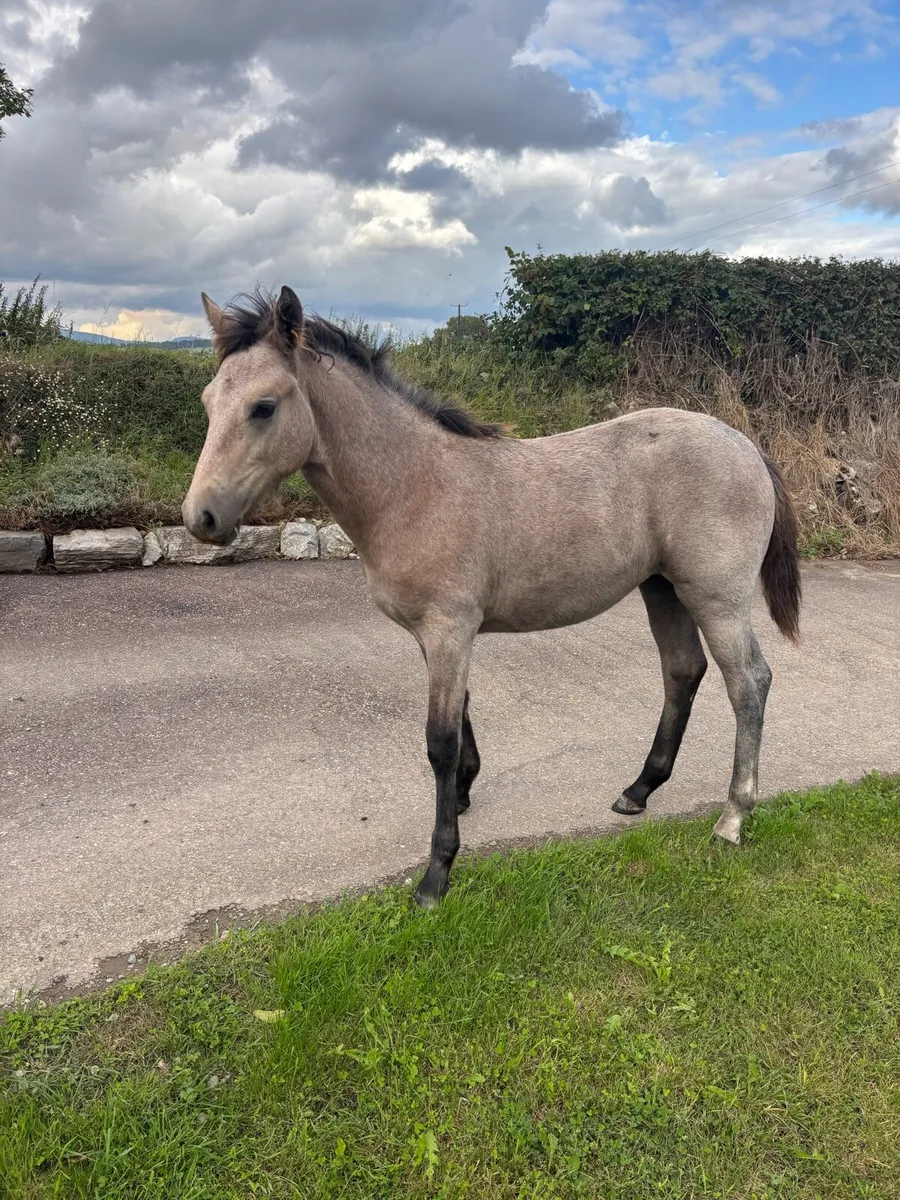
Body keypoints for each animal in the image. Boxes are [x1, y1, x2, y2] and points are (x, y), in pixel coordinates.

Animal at [182, 286, 801, 907]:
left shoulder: (449, 629)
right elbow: (462, 716)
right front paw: (462, 795)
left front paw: (438, 871)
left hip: (716, 599)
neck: (413, 485)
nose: (200, 518)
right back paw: (639, 789)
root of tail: (746, 446)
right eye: (209, 401)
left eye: (263, 406)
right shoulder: (437, 636)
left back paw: (732, 817)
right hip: (663, 589)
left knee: (748, 682)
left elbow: (440, 741)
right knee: (682, 671)